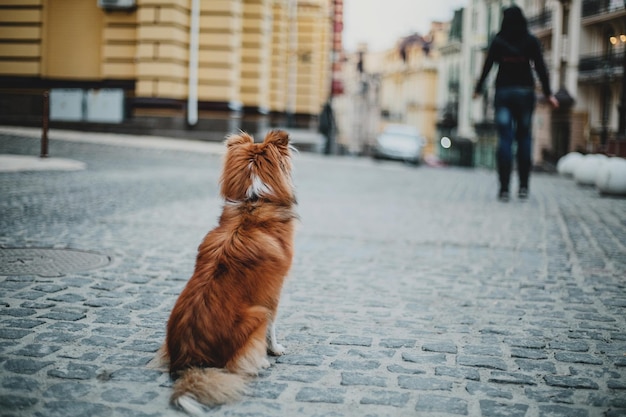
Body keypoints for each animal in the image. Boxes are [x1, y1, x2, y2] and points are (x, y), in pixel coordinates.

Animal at [163, 130, 294, 412]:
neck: (253, 202)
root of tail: (191, 359)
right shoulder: (272, 293)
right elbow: (273, 327)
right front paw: (275, 349)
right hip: (256, 314)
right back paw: (261, 361)